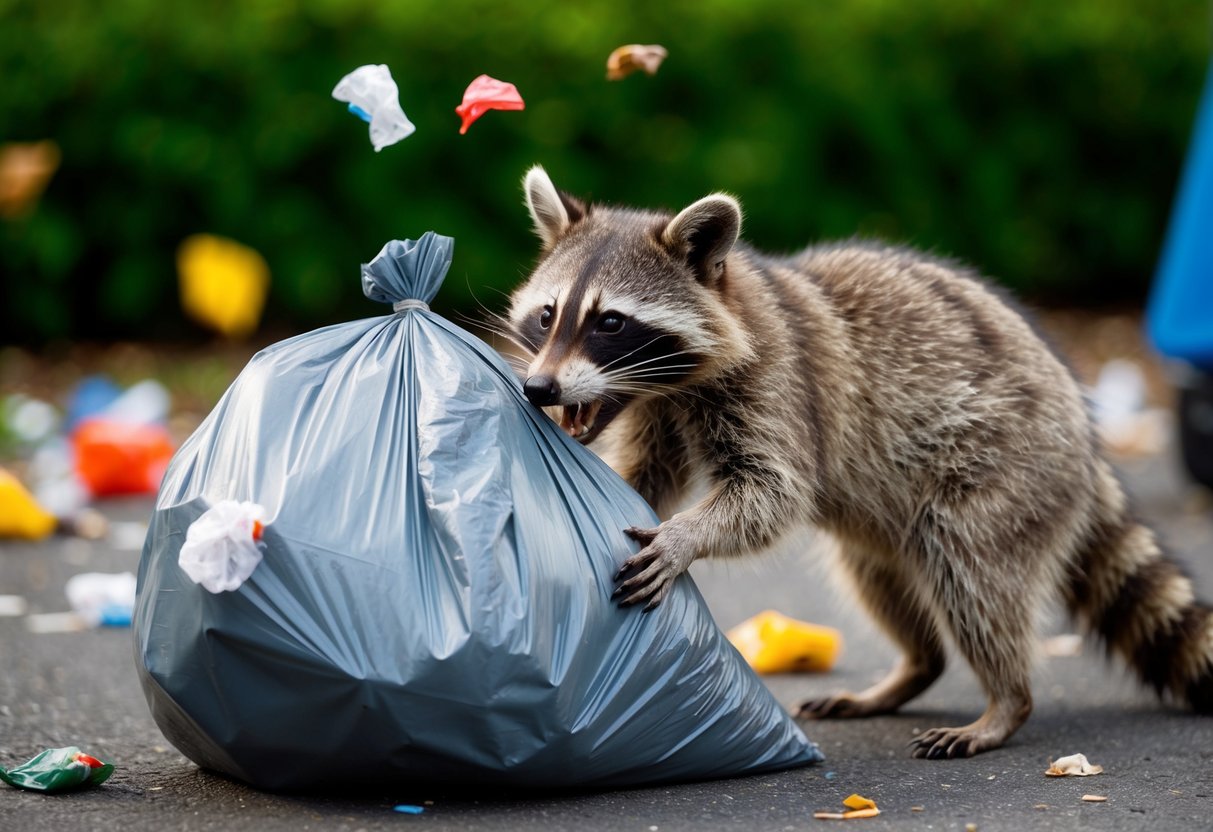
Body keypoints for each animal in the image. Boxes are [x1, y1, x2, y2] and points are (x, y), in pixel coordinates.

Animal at [503, 165, 1213, 758]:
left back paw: (1007, 700)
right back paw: (915, 667)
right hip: (885, 519)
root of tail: (1087, 442)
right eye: (547, 315)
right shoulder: (660, 411)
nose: (538, 389)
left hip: (1009, 466)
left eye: (610, 323)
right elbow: (651, 475)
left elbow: (773, 493)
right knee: (878, 577)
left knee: (972, 570)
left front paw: (684, 536)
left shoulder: (780, 380)